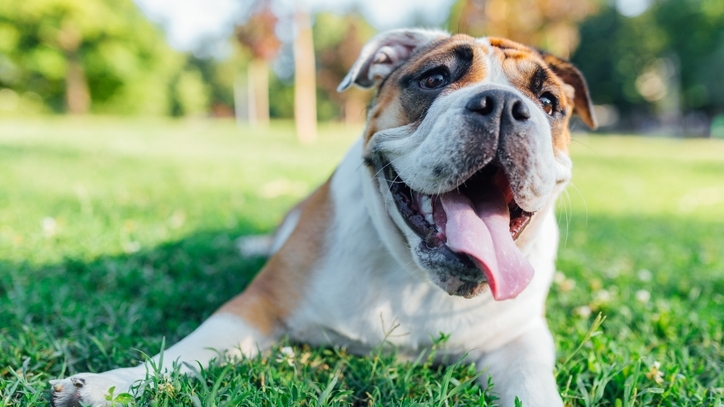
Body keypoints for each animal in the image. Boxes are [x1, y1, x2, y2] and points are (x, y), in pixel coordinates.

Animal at [49, 29, 592, 407]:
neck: (414, 278)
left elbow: (533, 386)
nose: (501, 103)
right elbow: (187, 351)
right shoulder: (257, 306)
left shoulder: (519, 340)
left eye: (549, 103)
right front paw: (112, 384)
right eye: (434, 79)